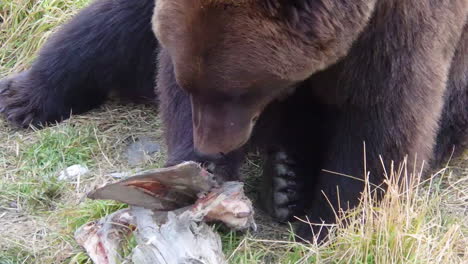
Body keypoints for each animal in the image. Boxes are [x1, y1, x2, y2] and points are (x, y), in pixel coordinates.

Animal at [0, 0, 468, 241]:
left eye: (241, 91)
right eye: (192, 86)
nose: (213, 146)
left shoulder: (400, 24)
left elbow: (383, 115)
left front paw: (328, 221)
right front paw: (198, 175)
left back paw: (289, 182)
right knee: (106, 29)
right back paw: (22, 97)